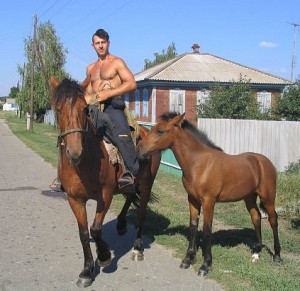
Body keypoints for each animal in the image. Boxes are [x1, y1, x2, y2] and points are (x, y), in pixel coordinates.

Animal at [49, 76, 162, 288]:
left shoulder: (105, 196)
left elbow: (95, 229)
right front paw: (86, 271)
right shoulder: (74, 199)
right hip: (129, 183)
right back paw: (121, 223)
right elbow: (84, 234)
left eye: (84, 109)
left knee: (141, 211)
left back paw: (137, 248)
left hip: (147, 182)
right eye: (58, 109)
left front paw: (104, 256)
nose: (74, 152)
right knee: (129, 195)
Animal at [137, 113, 282, 278]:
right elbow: (193, 226)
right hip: (249, 197)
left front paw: (205, 265)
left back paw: (277, 256)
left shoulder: (208, 202)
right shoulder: (192, 199)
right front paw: (187, 259)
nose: (139, 149)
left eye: (160, 131)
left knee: (273, 220)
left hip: (268, 198)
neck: (199, 164)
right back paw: (256, 253)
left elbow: (207, 230)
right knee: (256, 217)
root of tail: (265, 162)